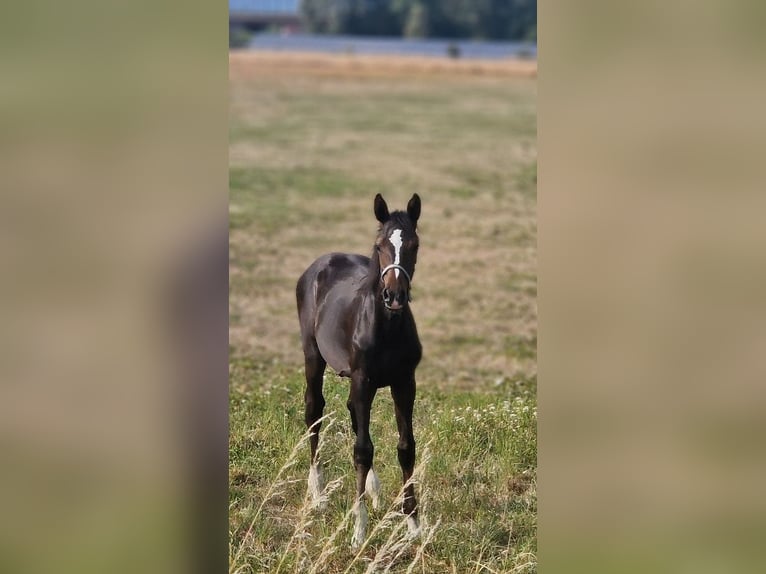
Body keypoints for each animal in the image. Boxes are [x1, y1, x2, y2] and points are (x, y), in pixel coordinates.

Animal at [296, 193, 423, 549]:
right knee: (314, 411)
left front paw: (414, 527)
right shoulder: (364, 380)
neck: (386, 327)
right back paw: (318, 493)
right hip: (313, 356)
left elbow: (406, 448)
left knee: (353, 413)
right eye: (380, 245)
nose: (395, 296)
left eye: (414, 245)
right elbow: (362, 450)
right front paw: (359, 531)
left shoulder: (404, 382)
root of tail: (320, 263)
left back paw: (374, 492)